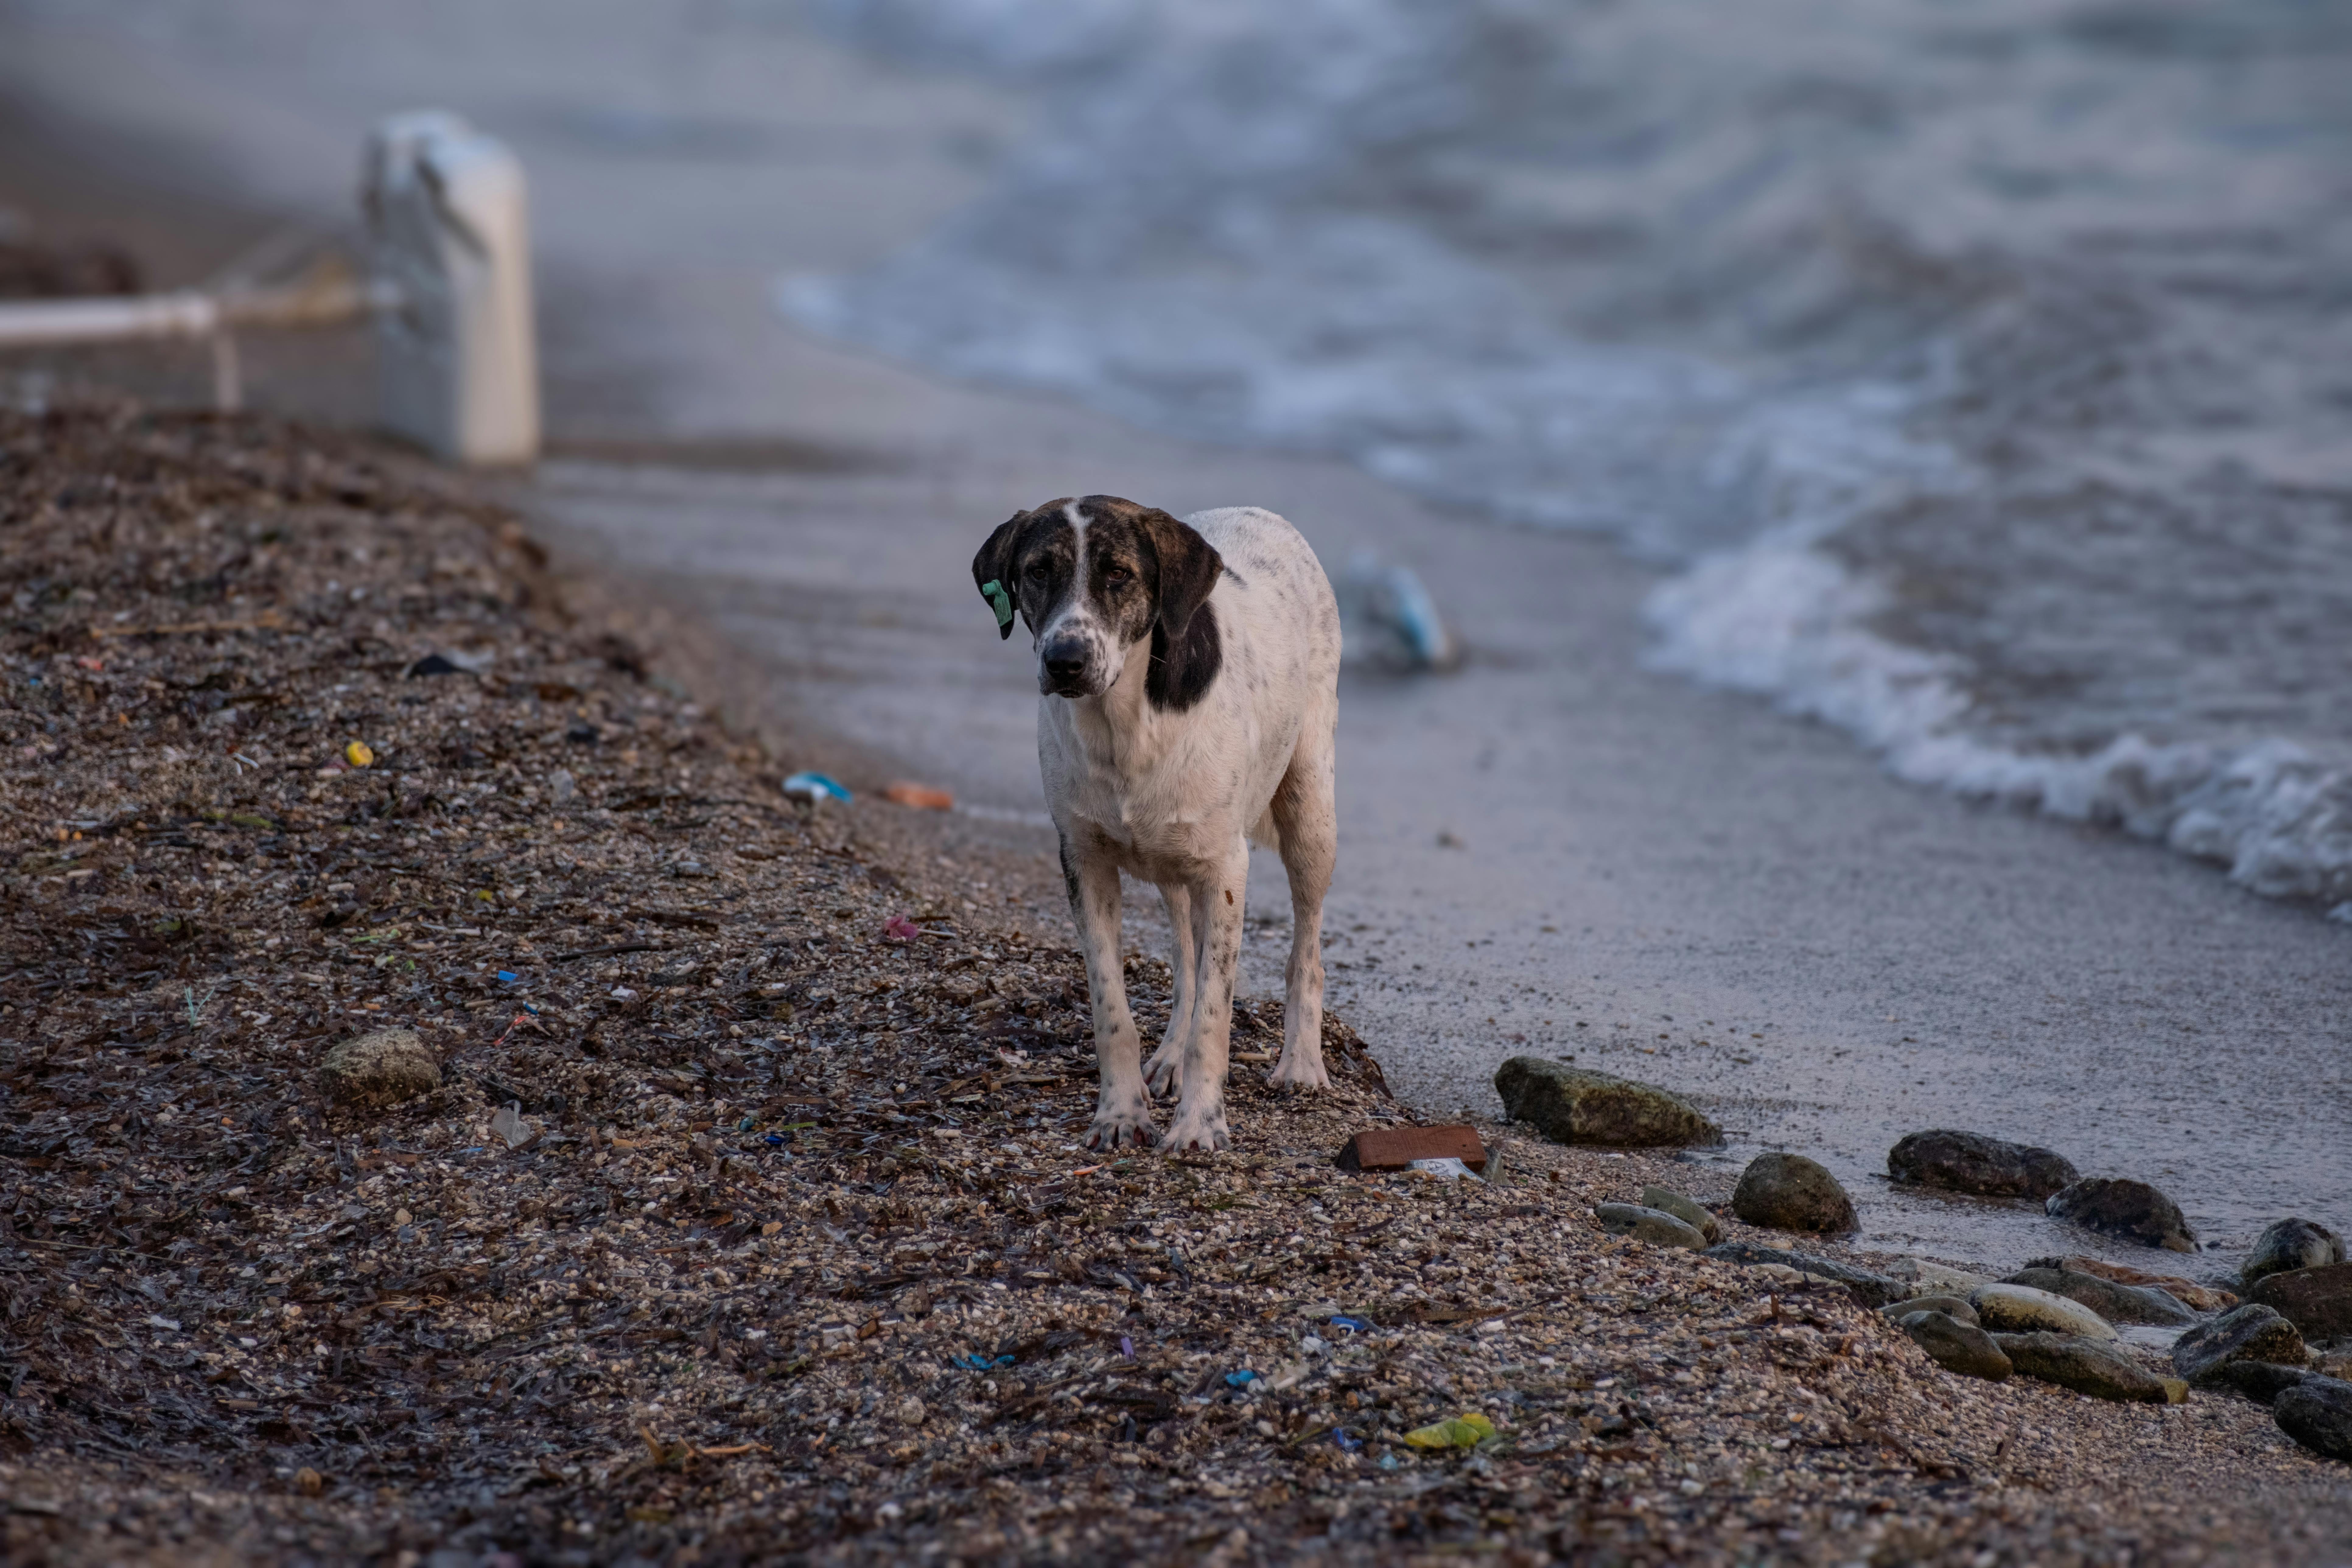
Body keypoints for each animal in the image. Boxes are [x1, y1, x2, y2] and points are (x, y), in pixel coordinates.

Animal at [974, 496, 1345, 1147]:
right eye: (1038, 571)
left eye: (1119, 574)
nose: (1065, 661)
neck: (1122, 725)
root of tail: (1258, 510)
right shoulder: (1084, 860)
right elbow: (1112, 1008)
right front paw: (1121, 1113)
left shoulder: (1225, 870)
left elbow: (1214, 1020)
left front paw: (1198, 1125)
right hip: (1176, 864)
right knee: (1186, 961)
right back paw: (1171, 1055)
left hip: (1309, 810)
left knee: (1306, 947)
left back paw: (1300, 1063)